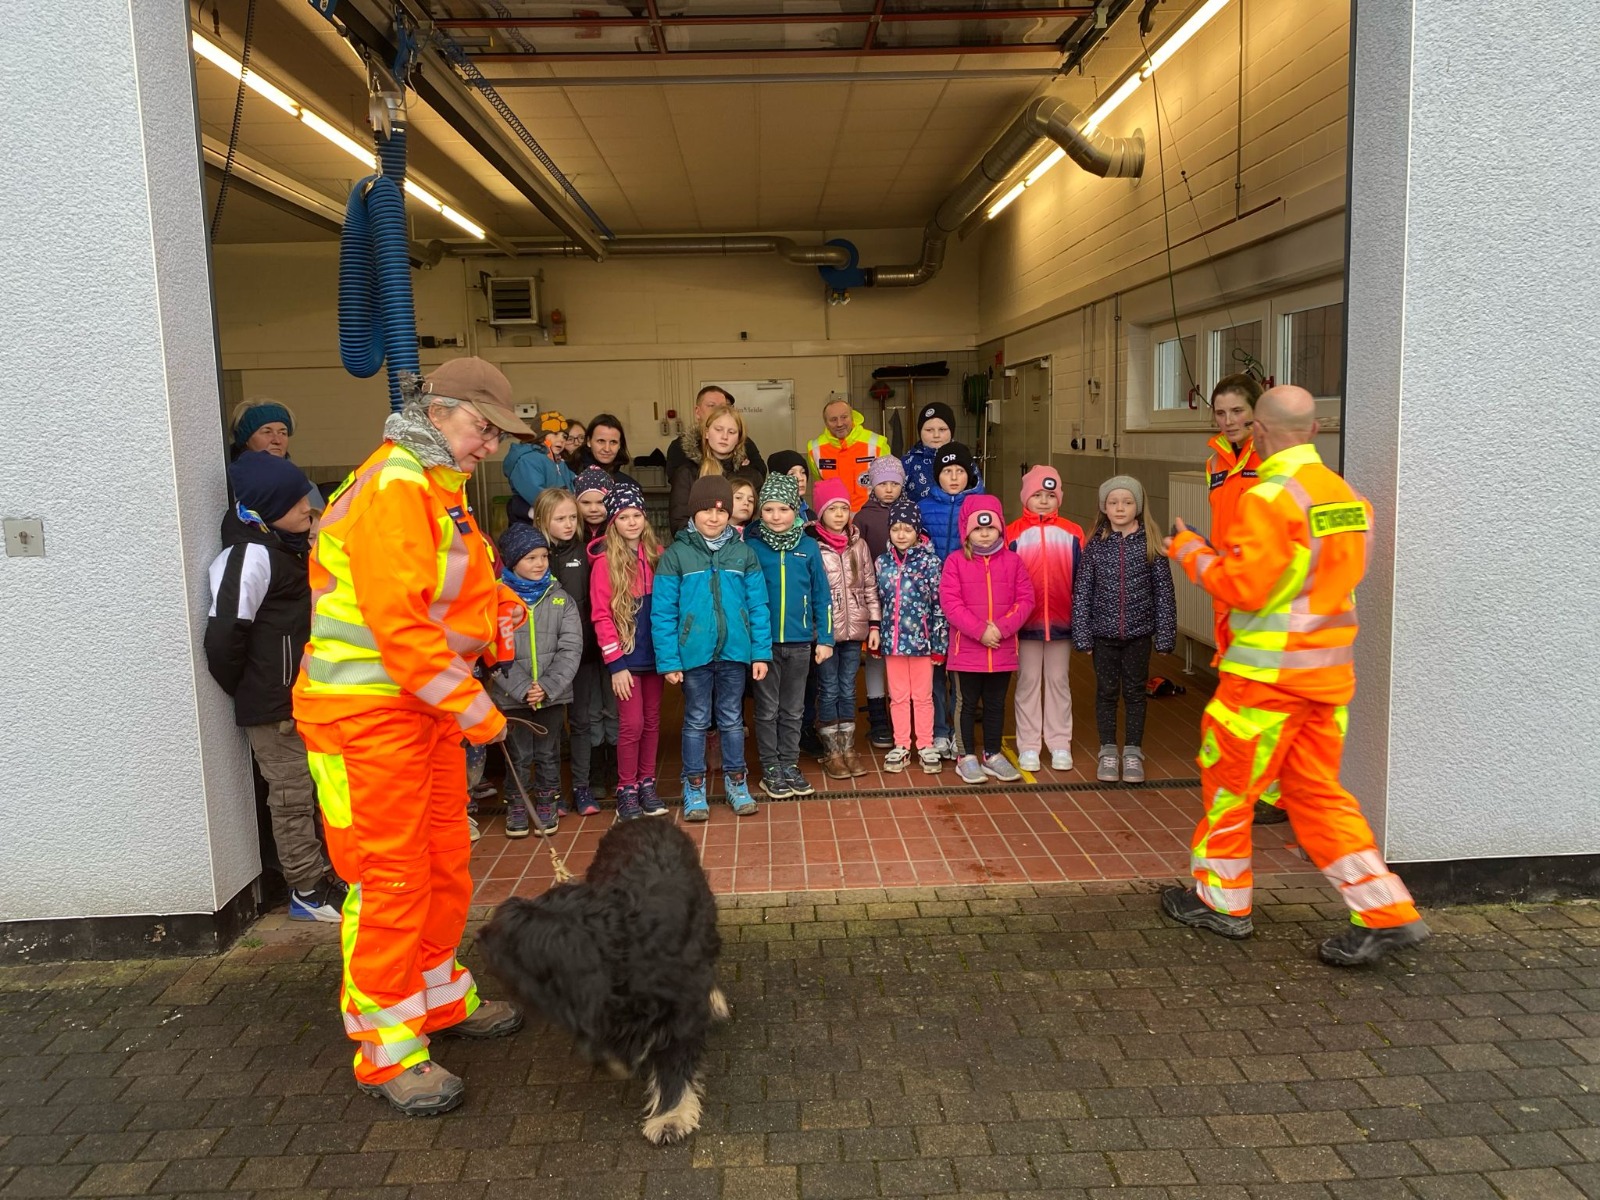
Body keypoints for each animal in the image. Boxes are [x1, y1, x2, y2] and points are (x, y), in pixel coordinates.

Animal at [473, 819, 726, 1145]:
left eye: (513, 937)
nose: (479, 936)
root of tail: (640, 819)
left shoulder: (679, 1004)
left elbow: (674, 1058)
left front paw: (670, 1116)